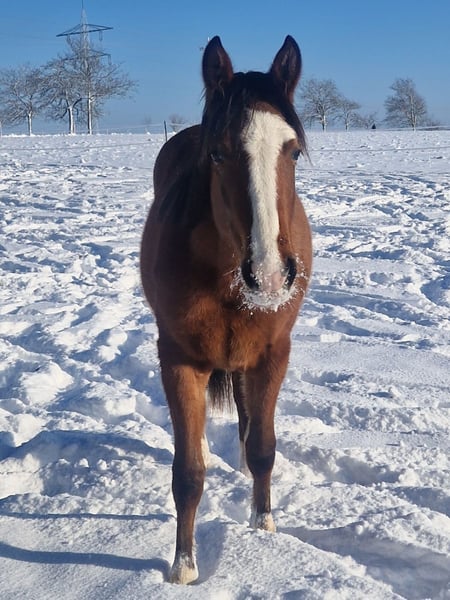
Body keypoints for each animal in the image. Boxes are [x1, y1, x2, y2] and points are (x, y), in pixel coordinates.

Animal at [140, 35, 312, 584]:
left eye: (293, 150)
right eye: (217, 153)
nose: (272, 275)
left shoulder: (273, 353)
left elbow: (263, 448)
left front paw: (263, 527)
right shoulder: (178, 360)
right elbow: (188, 473)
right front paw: (183, 567)